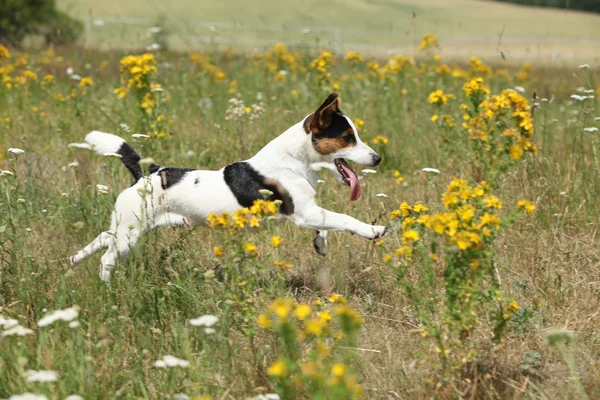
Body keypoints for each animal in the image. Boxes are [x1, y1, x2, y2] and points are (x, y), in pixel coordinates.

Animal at [70, 93, 390, 282]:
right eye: (348, 138)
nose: (377, 158)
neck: (292, 161)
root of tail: (146, 173)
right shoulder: (303, 212)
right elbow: (344, 219)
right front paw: (373, 230)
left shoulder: (310, 210)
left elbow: (327, 225)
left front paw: (321, 245)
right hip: (130, 234)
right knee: (107, 257)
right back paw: (107, 287)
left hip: (127, 226)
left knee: (102, 237)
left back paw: (75, 259)